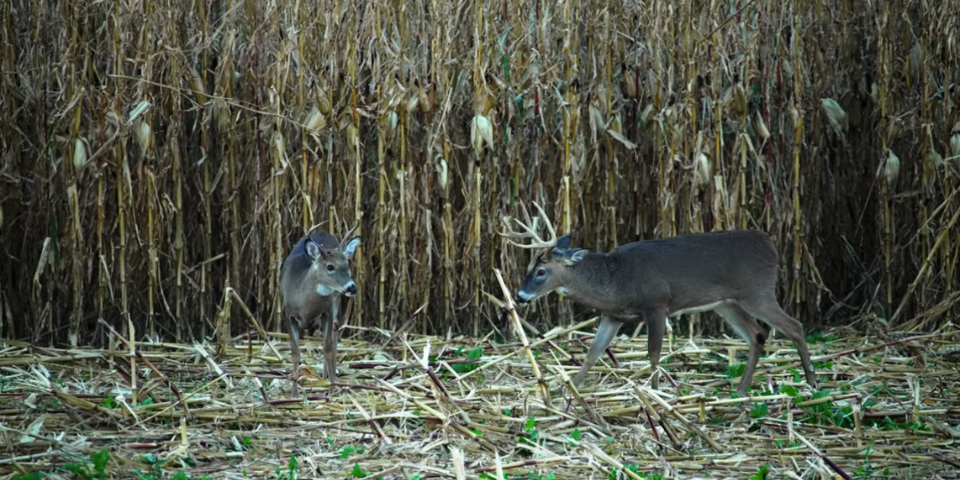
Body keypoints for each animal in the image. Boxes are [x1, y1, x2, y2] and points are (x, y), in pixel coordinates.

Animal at [280, 228, 360, 396]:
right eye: (330, 267)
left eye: (347, 264)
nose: (352, 288)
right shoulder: (288, 313)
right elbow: (295, 353)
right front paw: (294, 393)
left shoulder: (327, 311)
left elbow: (328, 348)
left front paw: (332, 387)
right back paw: (323, 377)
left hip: (336, 303)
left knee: (334, 337)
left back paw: (330, 378)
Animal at [500, 203, 818, 397]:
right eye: (528, 269)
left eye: (541, 271)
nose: (521, 296)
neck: (615, 280)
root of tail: (772, 246)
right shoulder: (613, 315)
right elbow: (593, 353)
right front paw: (569, 391)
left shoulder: (656, 305)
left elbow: (653, 353)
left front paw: (654, 391)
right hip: (727, 303)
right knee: (757, 335)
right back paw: (741, 390)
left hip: (757, 292)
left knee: (794, 326)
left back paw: (812, 381)